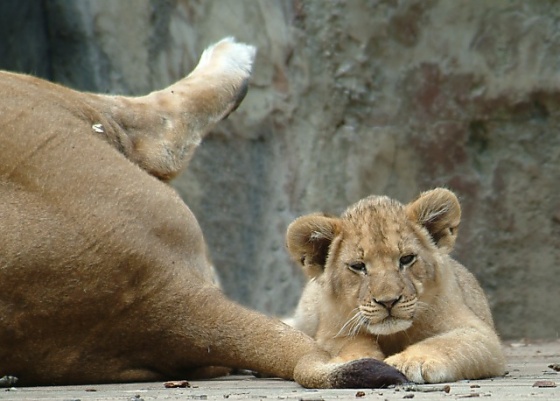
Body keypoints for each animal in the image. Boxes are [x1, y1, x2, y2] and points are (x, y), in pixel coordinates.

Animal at [285, 188, 506, 384]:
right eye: (358, 266)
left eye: (406, 259)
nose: (388, 301)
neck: (392, 335)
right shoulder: (332, 332)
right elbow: (350, 344)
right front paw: (353, 361)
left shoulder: (480, 332)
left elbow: (445, 343)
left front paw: (411, 360)